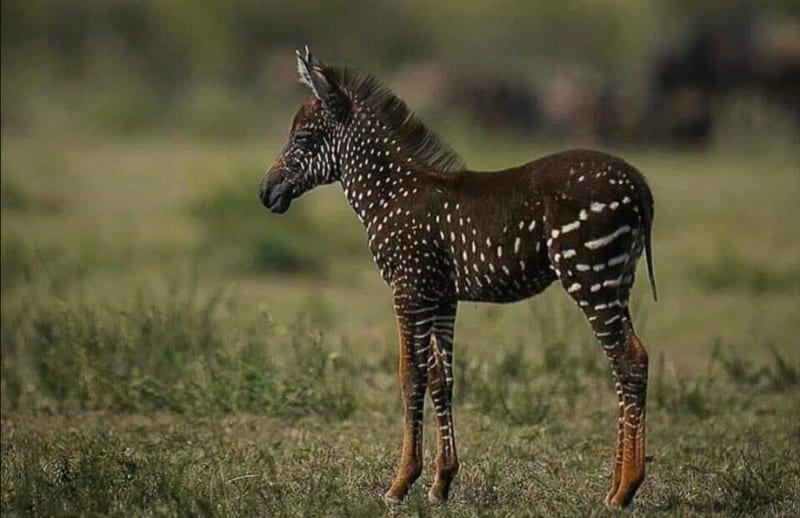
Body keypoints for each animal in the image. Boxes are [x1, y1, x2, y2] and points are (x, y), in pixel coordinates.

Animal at [259, 47, 657, 508]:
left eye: (304, 138)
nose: (265, 193)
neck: (390, 193)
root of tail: (638, 182)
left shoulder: (409, 288)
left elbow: (409, 374)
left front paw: (401, 483)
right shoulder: (442, 296)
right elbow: (441, 379)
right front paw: (441, 482)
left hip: (590, 277)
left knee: (630, 359)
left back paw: (626, 489)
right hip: (616, 281)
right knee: (624, 364)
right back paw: (615, 485)